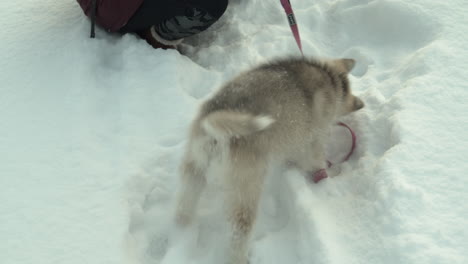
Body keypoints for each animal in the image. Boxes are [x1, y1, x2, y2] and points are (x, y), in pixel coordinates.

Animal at [174, 56, 364, 262]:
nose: (358, 104)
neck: (329, 77)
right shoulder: (313, 141)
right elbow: (317, 165)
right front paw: (329, 176)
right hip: (246, 187)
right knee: (239, 230)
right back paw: (240, 257)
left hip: (195, 168)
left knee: (185, 202)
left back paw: (182, 231)